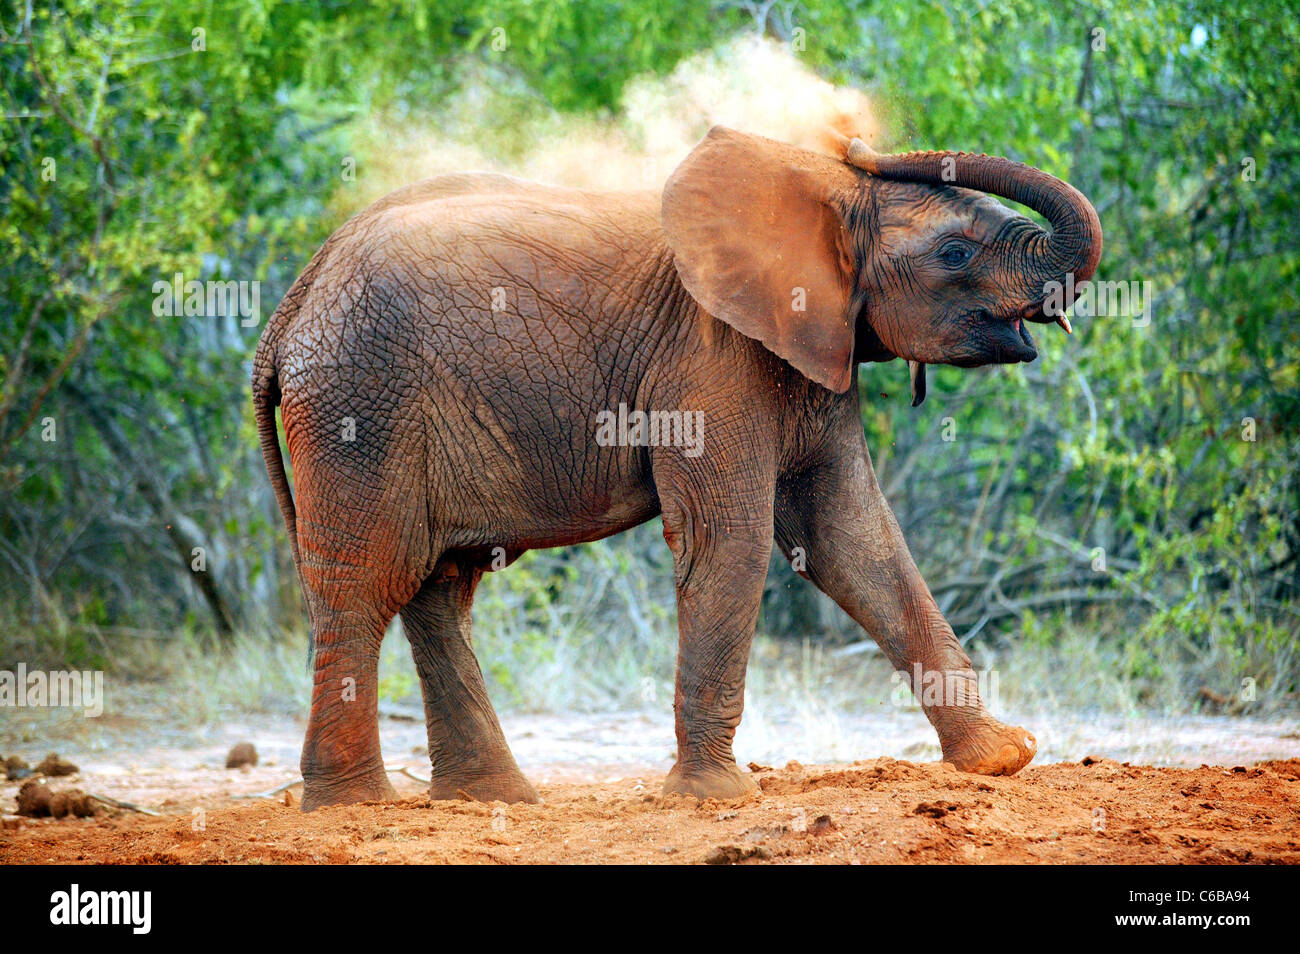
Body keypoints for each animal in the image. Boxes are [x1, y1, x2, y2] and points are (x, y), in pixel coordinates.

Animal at [250, 125, 1097, 816]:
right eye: (955, 254)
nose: (856, 142)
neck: (824, 199)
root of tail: (291, 305)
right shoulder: (710, 358)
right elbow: (734, 540)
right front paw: (716, 797)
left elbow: (855, 540)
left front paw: (1003, 759)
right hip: (360, 402)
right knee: (365, 582)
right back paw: (354, 806)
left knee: (438, 589)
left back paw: (494, 798)